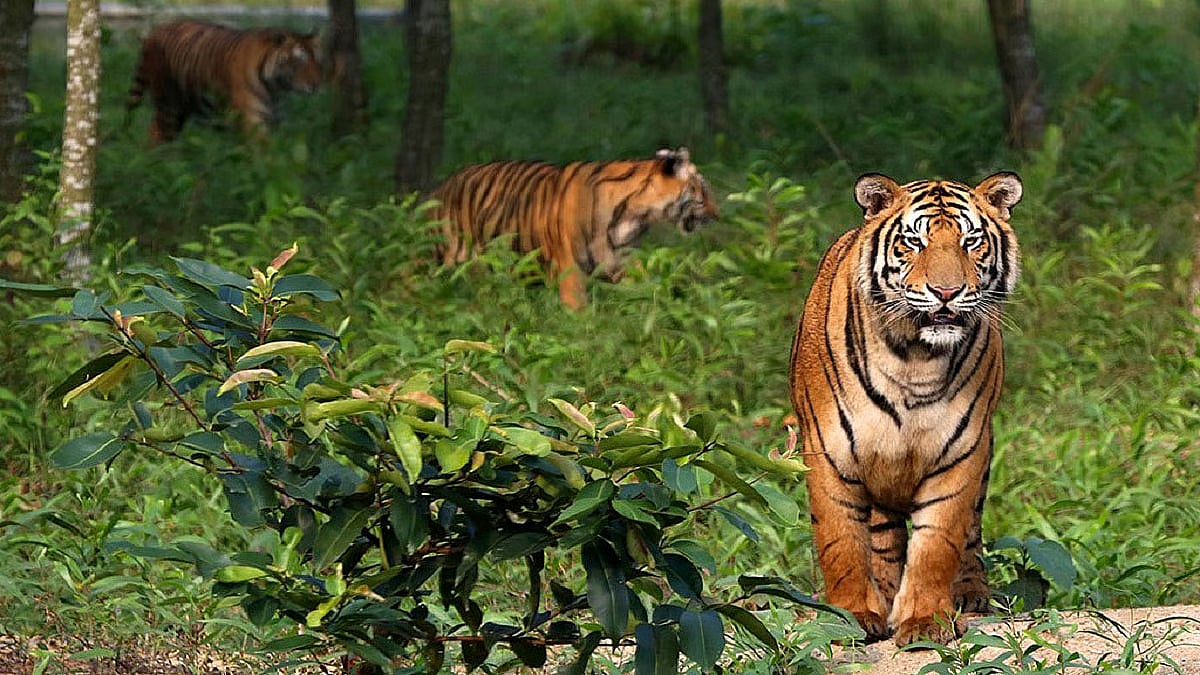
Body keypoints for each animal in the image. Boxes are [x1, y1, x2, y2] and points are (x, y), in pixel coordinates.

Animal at [125, 20, 322, 145]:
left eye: (316, 59)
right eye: (299, 60)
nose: (317, 84)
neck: (275, 89)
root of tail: (154, 33)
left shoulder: (273, 120)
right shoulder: (252, 119)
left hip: (183, 106)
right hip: (168, 105)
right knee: (157, 133)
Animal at [431, 147, 719, 310]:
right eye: (702, 194)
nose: (717, 215)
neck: (635, 215)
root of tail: (443, 185)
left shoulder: (622, 261)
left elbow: (648, 291)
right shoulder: (569, 271)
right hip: (446, 260)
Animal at [788, 172, 1023, 646]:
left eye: (971, 241)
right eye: (914, 241)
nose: (947, 292)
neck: (915, 358)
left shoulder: (961, 452)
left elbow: (937, 544)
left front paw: (926, 621)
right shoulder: (829, 451)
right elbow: (841, 542)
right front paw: (850, 616)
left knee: (970, 531)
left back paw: (969, 593)